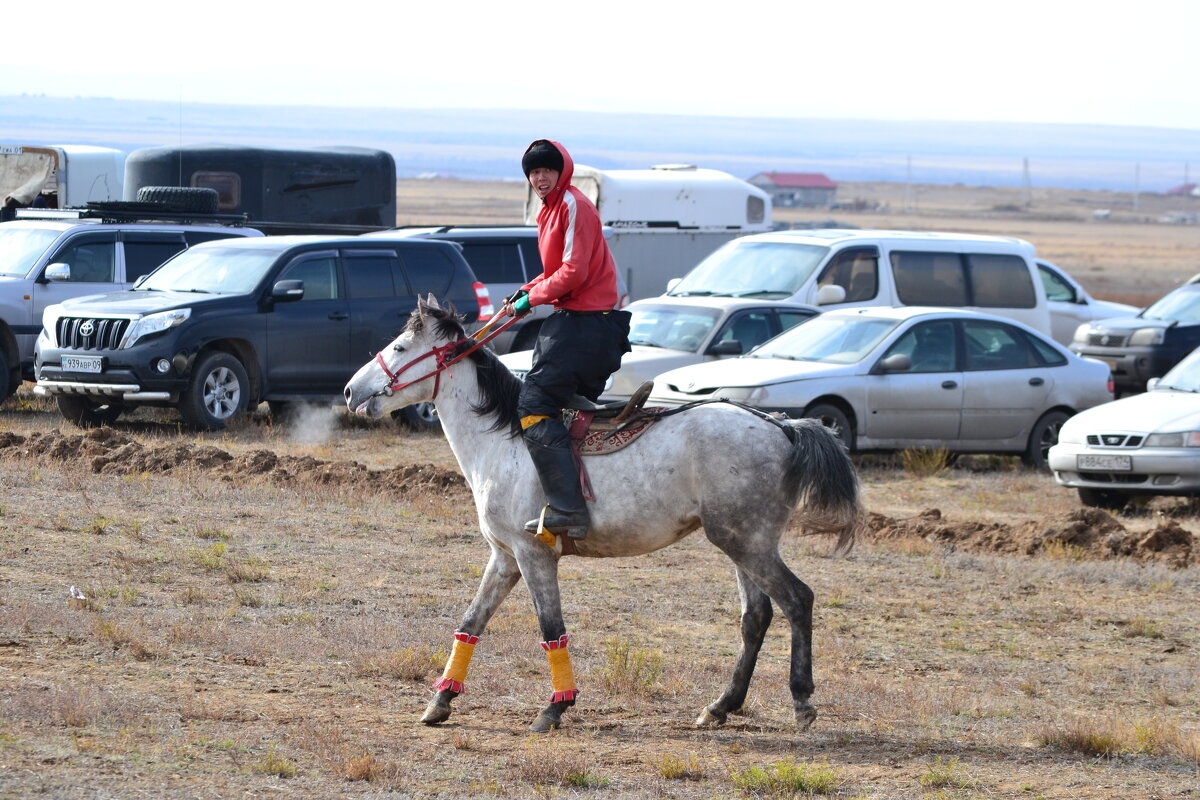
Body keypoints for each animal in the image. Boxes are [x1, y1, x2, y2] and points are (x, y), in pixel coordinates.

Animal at [343, 298, 859, 734]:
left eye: (401, 347)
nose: (350, 390)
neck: (503, 440)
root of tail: (783, 426)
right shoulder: (504, 557)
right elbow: (471, 622)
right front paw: (440, 702)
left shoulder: (534, 555)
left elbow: (551, 629)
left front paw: (555, 707)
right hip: (741, 542)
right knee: (756, 616)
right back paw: (720, 707)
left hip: (748, 543)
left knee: (798, 600)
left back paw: (801, 700)